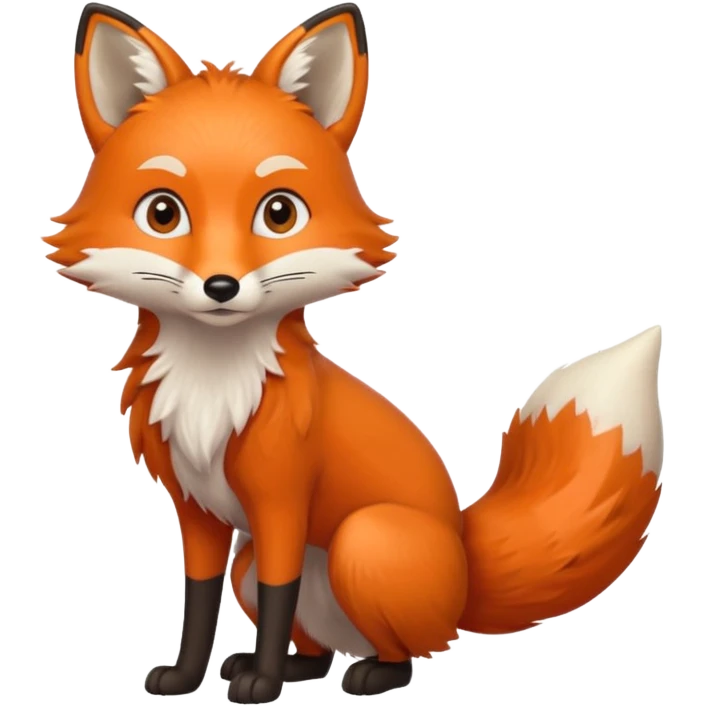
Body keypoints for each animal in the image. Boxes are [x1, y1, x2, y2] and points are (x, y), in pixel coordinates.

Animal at [44, 2, 666, 703]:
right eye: (162, 213)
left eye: (279, 213)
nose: (221, 287)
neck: (214, 385)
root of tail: (465, 558)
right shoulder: (197, 509)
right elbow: (198, 601)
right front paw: (185, 676)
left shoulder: (283, 501)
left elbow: (279, 592)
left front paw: (261, 685)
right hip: (258, 561)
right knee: (317, 647)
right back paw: (297, 667)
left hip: (363, 542)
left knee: (410, 649)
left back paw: (367, 674)